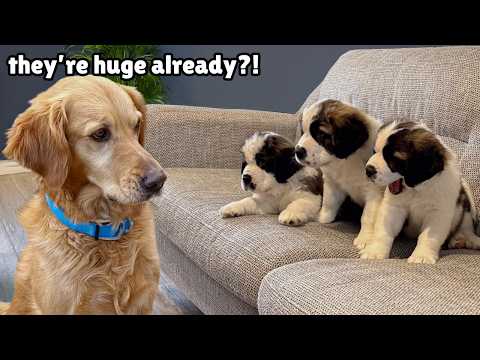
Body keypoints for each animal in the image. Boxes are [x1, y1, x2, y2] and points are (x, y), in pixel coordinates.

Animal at [296, 100, 382, 249]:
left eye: (321, 134)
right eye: (303, 131)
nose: (297, 151)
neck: (344, 160)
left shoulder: (374, 192)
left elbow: (368, 216)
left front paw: (364, 239)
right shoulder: (332, 183)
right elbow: (329, 202)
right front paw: (323, 218)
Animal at [360, 121, 480, 264]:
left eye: (393, 160)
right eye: (374, 151)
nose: (368, 170)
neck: (417, 189)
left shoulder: (438, 212)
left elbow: (428, 236)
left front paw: (422, 255)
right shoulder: (393, 208)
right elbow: (383, 230)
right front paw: (375, 251)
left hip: (464, 203)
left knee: (466, 225)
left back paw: (466, 239)